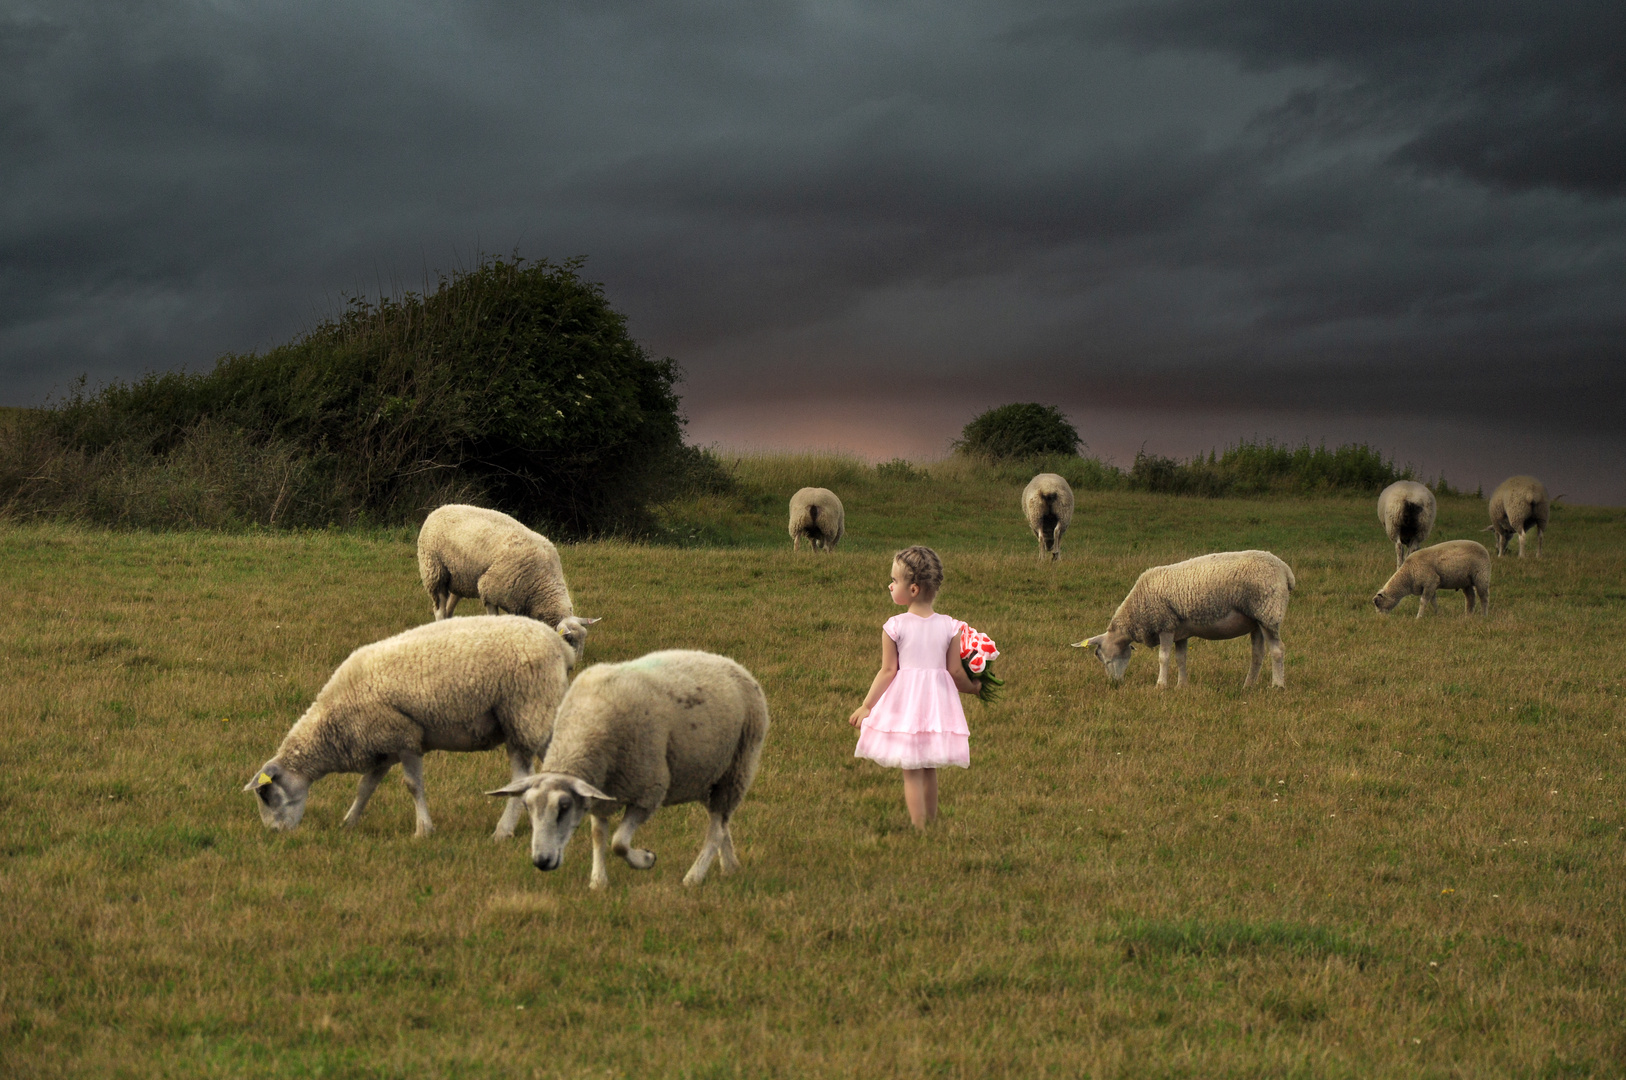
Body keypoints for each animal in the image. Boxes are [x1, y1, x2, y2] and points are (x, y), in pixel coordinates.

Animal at [237, 611, 575, 839]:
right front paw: (349, 822)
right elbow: (366, 787)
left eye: (265, 795)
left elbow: (412, 786)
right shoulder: (381, 747)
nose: (275, 833)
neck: (334, 721)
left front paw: (423, 830)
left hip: (529, 711)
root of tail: (562, 647)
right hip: (524, 720)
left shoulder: (404, 737)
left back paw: (510, 830)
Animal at [416, 504, 601, 663]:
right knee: (440, 610)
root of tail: (441, 509)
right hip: (435, 571)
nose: (578, 665)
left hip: (460, 579)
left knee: (449, 609)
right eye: (569, 639)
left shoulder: (519, 603)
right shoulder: (489, 590)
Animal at [487, 653, 767, 891]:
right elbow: (598, 836)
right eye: (527, 807)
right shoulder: (600, 793)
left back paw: (693, 877)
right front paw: (598, 882)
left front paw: (646, 859)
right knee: (721, 822)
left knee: (716, 830)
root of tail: (734, 665)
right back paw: (730, 868)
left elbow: (619, 843)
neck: (584, 732)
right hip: (707, 777)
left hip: (738, 767)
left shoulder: (648, 792)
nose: (541, 862)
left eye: (564, 807)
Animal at [1066, 553, 1294, 686]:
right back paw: (1248, 685)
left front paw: (1161, 685)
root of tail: (1285, 570)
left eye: (1100, 655)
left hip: (1269, 613)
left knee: (1277, 650)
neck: (1135, 614)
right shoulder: (1180, 632)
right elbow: (1181, 658)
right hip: (1256, 620)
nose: (1114, 683)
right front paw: (1181, 685)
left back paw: (1277, 685)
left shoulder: (1165, 625)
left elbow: (1163, 657)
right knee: (1257, 654)